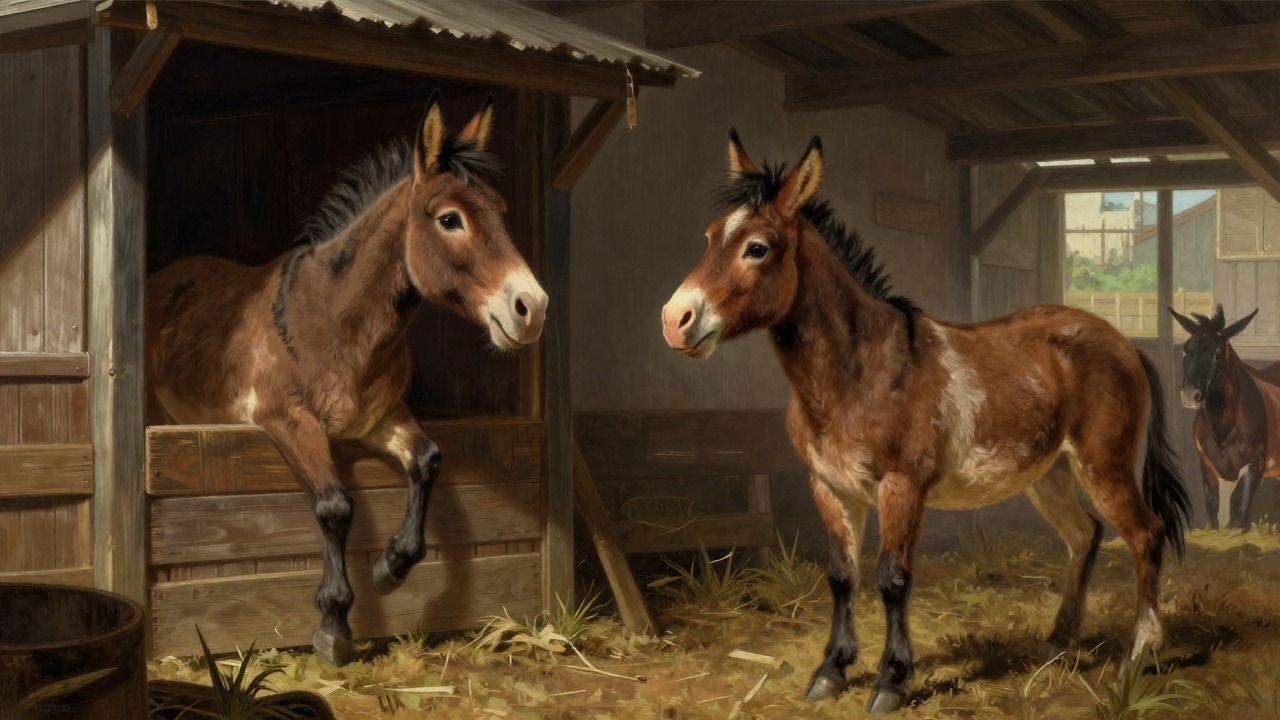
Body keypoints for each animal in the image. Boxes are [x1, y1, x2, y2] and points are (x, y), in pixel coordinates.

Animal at [144, 92, 548, 666]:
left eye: (502, 213)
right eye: (450, 219)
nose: (531, 308)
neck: (336, 325)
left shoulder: (382, 419)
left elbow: (429, 461)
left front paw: (392, 566)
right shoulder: (290, 422)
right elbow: (335, 507)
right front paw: (333, 623)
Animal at [659, 130, 1191, 714]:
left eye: (756, 247)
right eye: (710, 236)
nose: (675, 320)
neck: (860, 369)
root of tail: (1121, 343)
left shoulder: (901, 488)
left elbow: (893, 579)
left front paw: (891, 681)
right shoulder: (831, 488)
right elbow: (841, 575)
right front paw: (831, 671)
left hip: (1103, 466)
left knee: (1145, 535)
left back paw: (1136, 658)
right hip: (1048, 473)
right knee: (1084, 536)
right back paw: (1056, 643)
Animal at [1171, 305, 1280, 529]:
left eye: (1218, 353)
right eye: (1186, 350)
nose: (1189, 395)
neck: (1223, 427)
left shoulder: (1255, 465)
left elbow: (1239, 506)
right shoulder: (1208, 465)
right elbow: (1213, 506)